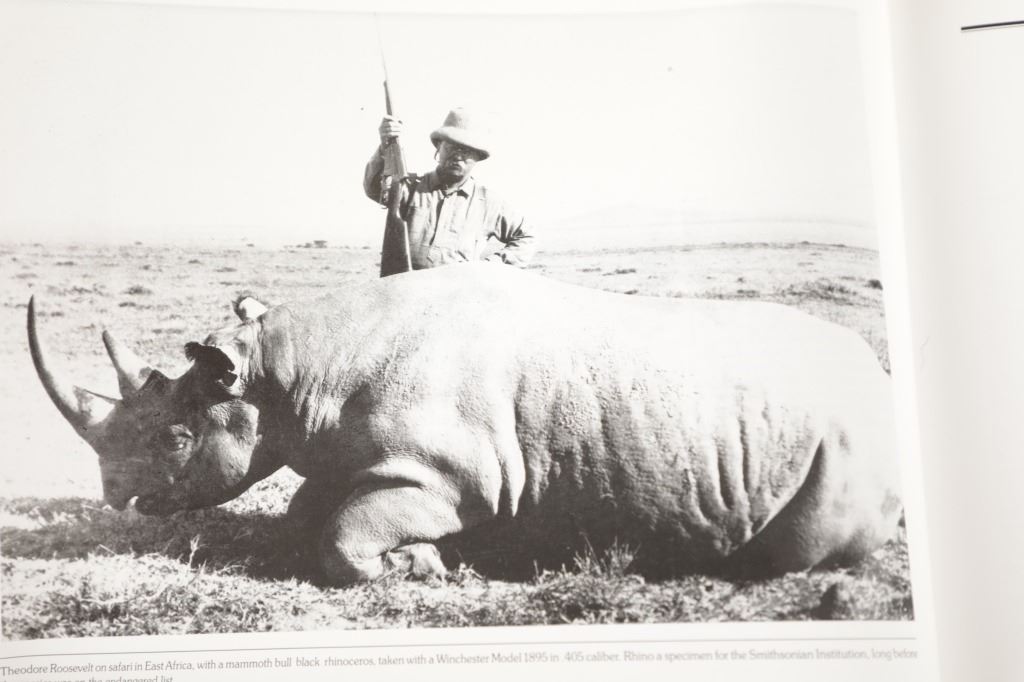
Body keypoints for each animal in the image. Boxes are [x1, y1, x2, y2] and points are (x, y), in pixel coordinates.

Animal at [28, 263, 902, 584]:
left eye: (174, 438)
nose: (118, 497)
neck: (285, 374)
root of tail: (877, 376)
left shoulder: (457, 477)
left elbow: (341, 538)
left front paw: (421, 565)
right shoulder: (364, 461)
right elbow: (309, 513)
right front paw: (420, 557)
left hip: (850, 440)